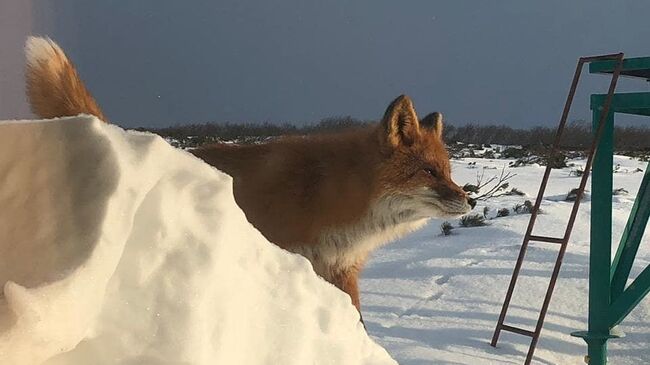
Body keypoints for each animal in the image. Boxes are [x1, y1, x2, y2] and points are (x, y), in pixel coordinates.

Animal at [25, 36, 474, 312]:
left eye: (449, 171)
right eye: (429, 171)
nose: (469, 199)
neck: (331, 195)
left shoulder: (339, 268)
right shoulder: (287, 253)